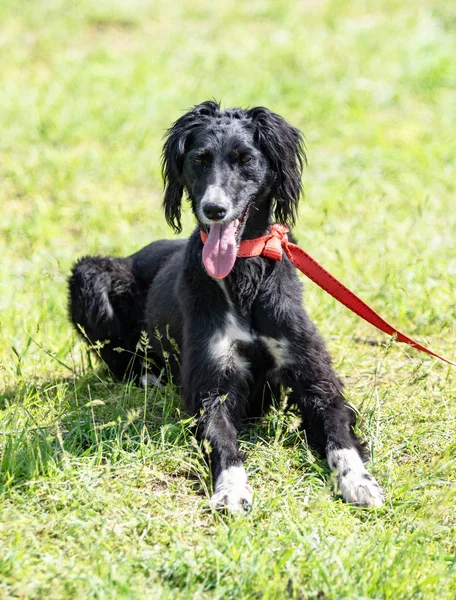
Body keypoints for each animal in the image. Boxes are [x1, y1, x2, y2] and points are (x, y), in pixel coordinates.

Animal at [69, 99, 384, 510]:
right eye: (199, 159)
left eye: (244, 159)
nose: (214, 209)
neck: (243, 277)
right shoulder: (212, 388)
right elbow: (222, 443)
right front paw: (231, 489)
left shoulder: (315, 378)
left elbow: (340, 435)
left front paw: (358, 481)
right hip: (90, 275)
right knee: (119, 361)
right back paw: (150, 376)